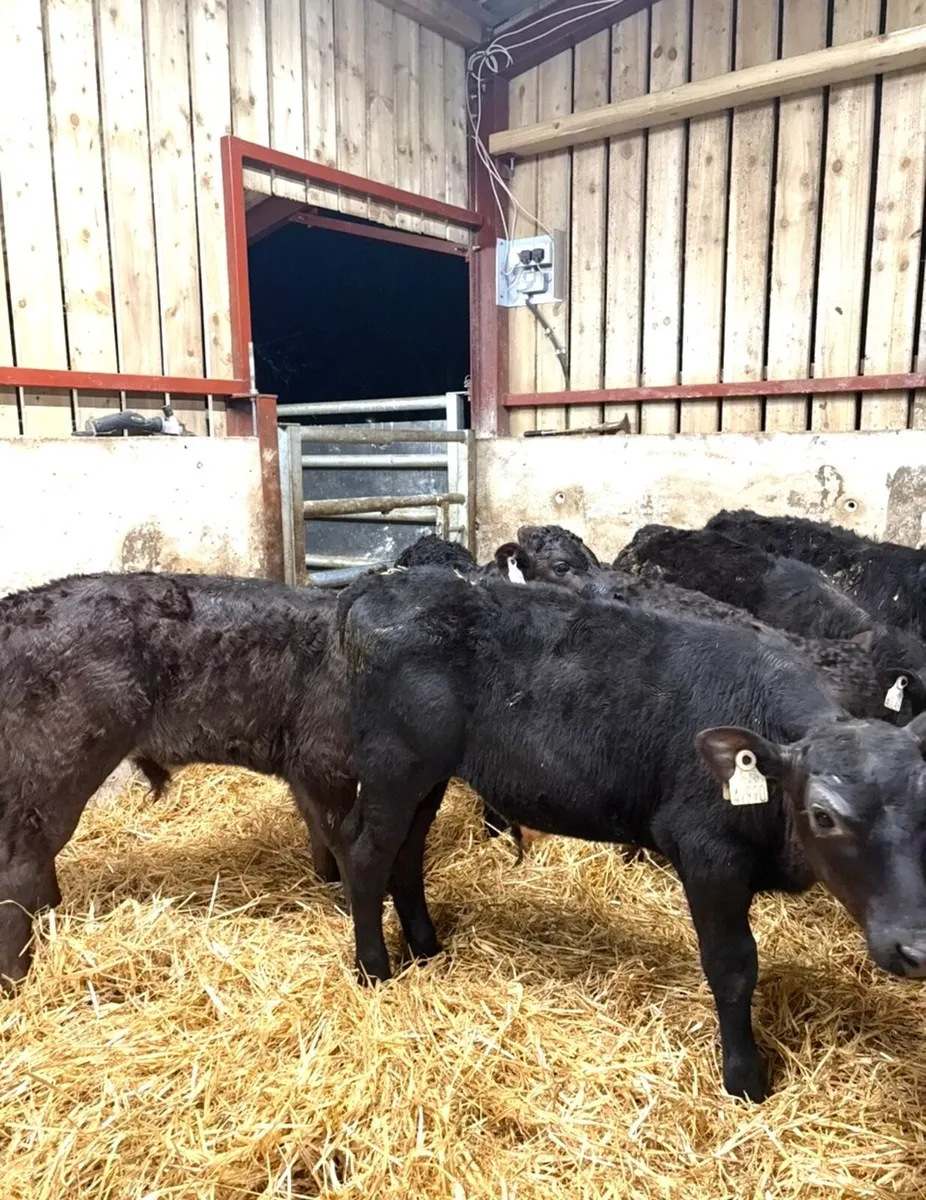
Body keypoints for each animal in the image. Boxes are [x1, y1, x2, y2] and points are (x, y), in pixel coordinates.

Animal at [0, 570, 366, 986]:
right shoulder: (324, 759)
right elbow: (343, 838)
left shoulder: (302, 768)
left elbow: (318, 830)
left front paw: (327, 882)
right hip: (56, 760)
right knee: (18, 861)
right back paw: (17, 977)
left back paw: (50, 913)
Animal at [335, 568, 926, 1102]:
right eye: (824, 814)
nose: (916, 948)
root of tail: (381, 583)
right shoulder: (708, 851)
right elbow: (733, 965)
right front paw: (745, 1080)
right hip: (394, 764)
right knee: (365, 853)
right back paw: (374, 970)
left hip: (428, 774)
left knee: (407, 854)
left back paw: (426, 949)